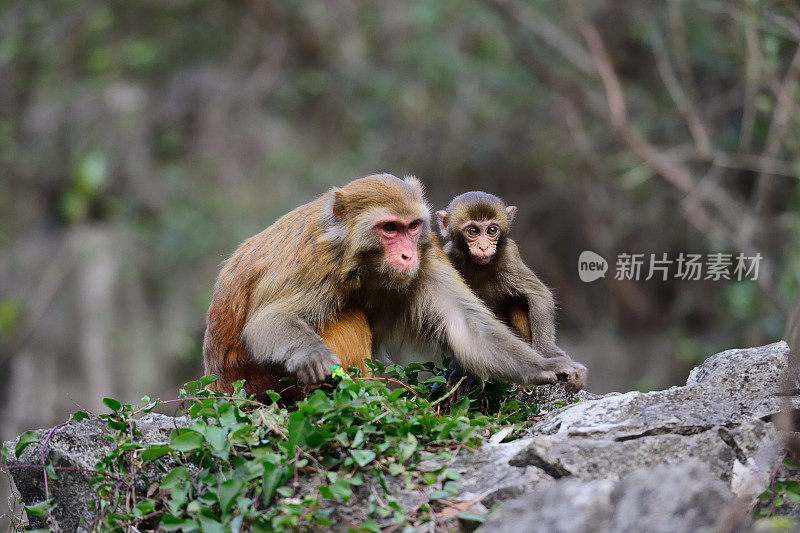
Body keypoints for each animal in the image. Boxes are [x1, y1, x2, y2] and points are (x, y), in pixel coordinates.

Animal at [438, 193, 576, 396]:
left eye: (492, 230)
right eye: (473, 231)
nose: (484, 247)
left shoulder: (509, 255)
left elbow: (539, 295)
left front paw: (547, 354)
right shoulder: (449, 256)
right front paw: (461, 374)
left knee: (517, 304)